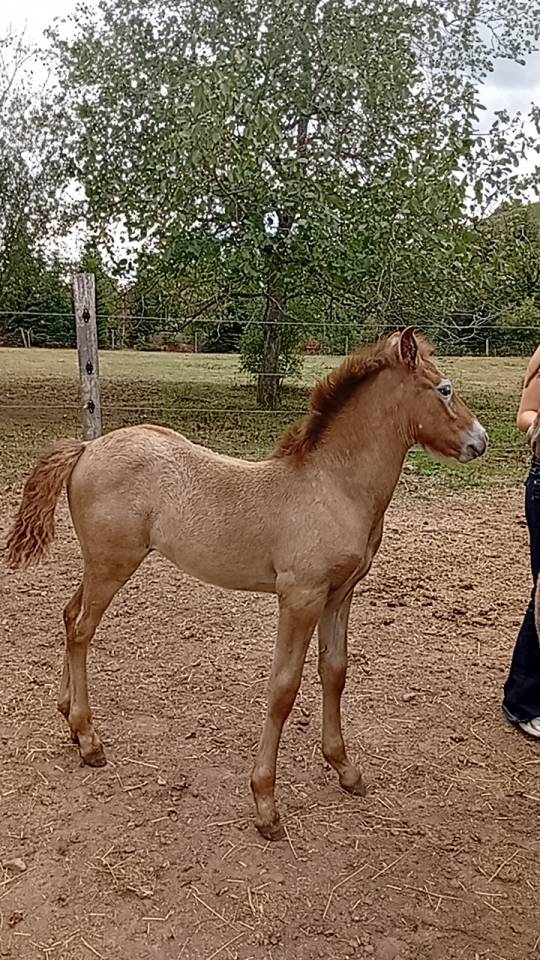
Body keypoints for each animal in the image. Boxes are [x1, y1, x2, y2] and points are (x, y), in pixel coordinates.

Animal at [5, 328, 487, 841]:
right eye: (445, 389)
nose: (480, 440)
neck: (333, 487)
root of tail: (87, 448)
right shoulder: (300, 598)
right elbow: (283, 689)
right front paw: (265, 803)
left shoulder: (340, 594)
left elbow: (334, 672)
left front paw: (345, 769)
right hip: (112, 565)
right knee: (81, 630)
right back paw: (89, 739)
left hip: (98, 564)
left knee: (68, 616)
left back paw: (68, 719)